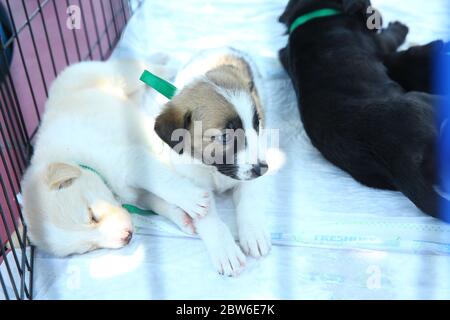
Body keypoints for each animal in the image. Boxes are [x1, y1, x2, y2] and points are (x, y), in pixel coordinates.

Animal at [280, 0, 448, 219]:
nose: (379, 18)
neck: (312, 13)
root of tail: (398, 158)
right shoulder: (379, 43)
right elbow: (390, 38)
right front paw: (399, 26)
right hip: (423, 101)